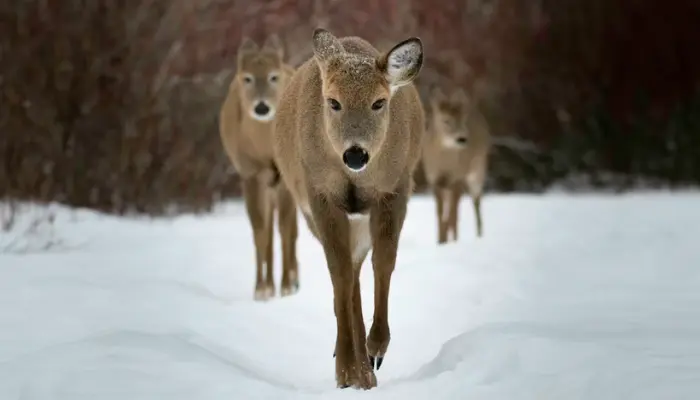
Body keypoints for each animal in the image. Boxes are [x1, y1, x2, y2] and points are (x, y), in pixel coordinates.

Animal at [219, 34, 300, 301]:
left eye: (274, 76)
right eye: (247, 78)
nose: (262, 107)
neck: (266, 148)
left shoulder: (285, 176)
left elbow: (285, 229)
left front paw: (286, 286)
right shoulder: (250, 173)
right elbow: (260, 231)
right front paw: (261, 288)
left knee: (291, 229)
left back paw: (293, 279)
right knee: (270, 230)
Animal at [272, 28, 425, 390]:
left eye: (379, 102)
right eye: (333, 102)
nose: (355, 154)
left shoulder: (396, 187)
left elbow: (384, 262)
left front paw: (377, 346)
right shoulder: (319, 193)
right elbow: (338, 273)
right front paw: (344, 369)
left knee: (358, 267)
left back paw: (367, 368)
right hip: (311, 211)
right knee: (348, 273)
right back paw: (359, 371)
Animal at [421, 86, 492, 244]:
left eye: (462, 120)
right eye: (446, 120)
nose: (462, 138)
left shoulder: (457, 178)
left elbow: (452, 214)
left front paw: (446, 241)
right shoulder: (434, 180)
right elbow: (440, 213)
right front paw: (440, 241)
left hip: (477, 171)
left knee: (476, 201)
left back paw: (478, 236)